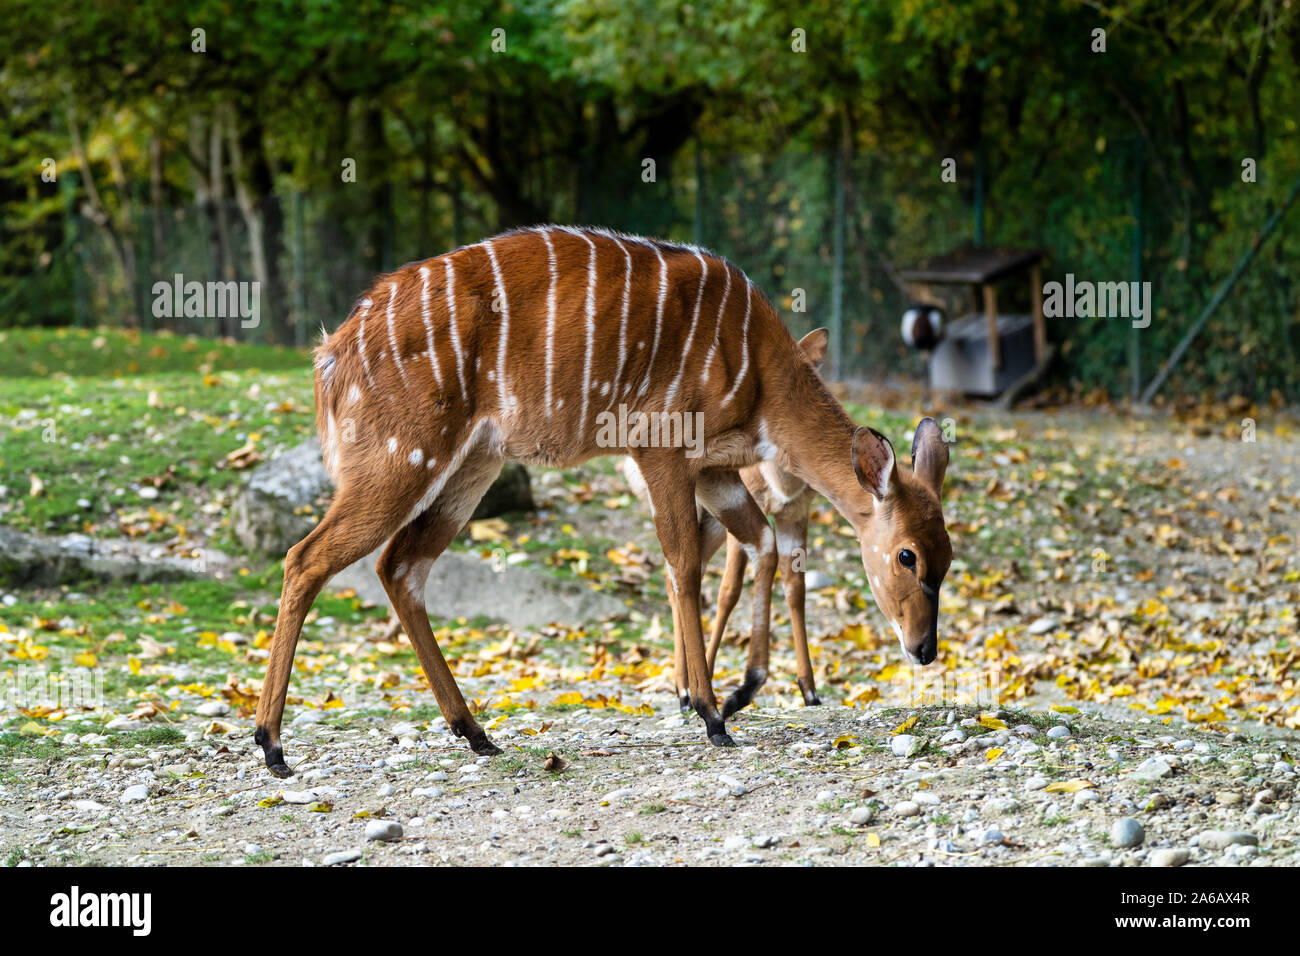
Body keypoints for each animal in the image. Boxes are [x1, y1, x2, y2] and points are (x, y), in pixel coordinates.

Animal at [250, 226, 956, 780]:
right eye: (908, 556)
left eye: (946, 559)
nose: (925, 649)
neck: (759, 372)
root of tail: (331, 353)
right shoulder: (661, 446)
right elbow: (684, 564)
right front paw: (710, 713)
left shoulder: (715, 469)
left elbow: (759, 545)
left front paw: (742, 691)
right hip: (402, 459)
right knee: (307, 557)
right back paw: (272, 745)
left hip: (472, 466)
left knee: (400, 566)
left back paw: (476, 733)